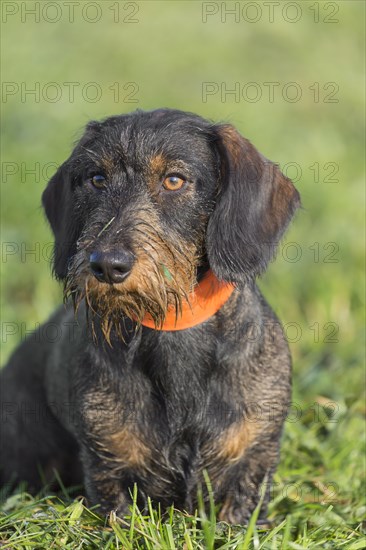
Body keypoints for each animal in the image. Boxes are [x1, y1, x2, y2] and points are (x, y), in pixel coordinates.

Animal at [0, 109, 300, 528]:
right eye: (97, 178)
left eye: (173, 180)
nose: (107, 265)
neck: (172, 326)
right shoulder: (108, 468)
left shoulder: (253, 460)